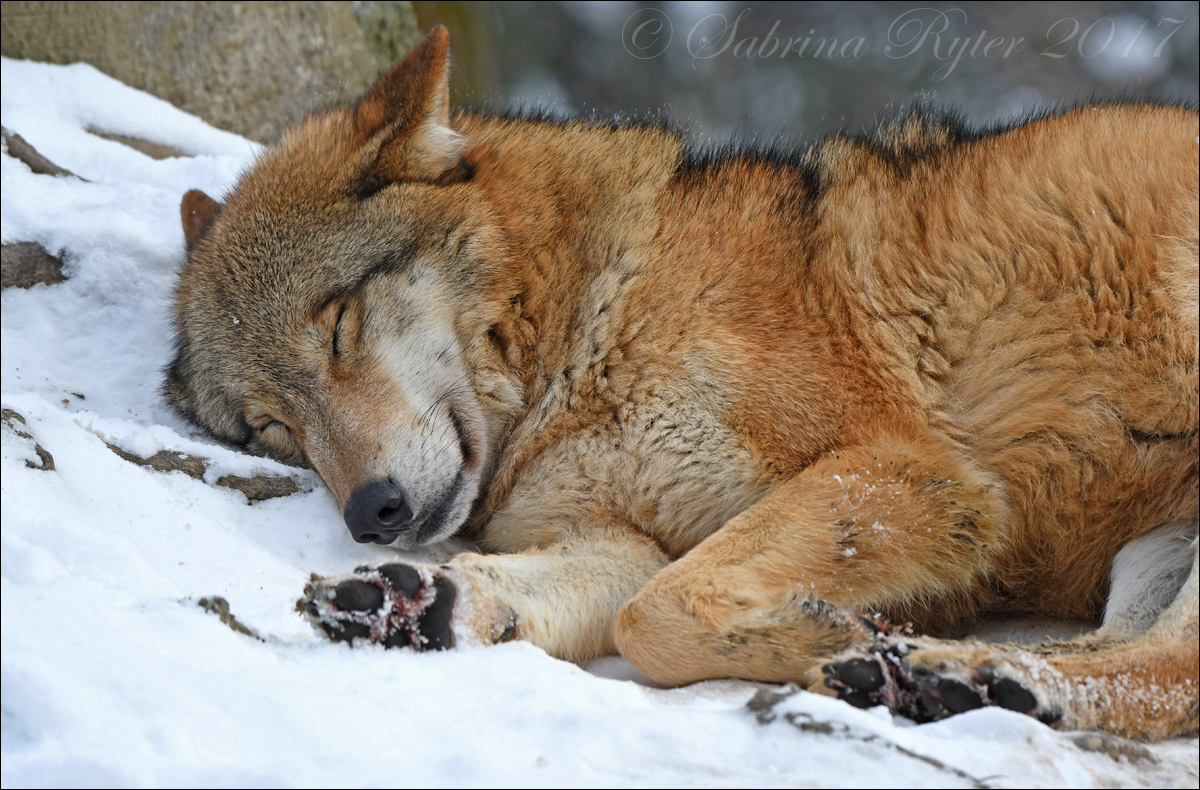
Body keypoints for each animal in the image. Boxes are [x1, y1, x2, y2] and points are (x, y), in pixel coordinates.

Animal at [164, 26, 1195, 739]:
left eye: (338, 328)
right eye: (272, 429)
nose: (369, 514)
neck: (587, 335)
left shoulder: (907, 471)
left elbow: (653, 619)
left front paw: (835, 643)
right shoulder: (631, 538)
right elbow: (615, 598)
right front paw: (417, 601)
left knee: (1174, 674)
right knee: (1136, 664)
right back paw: (977, 678)